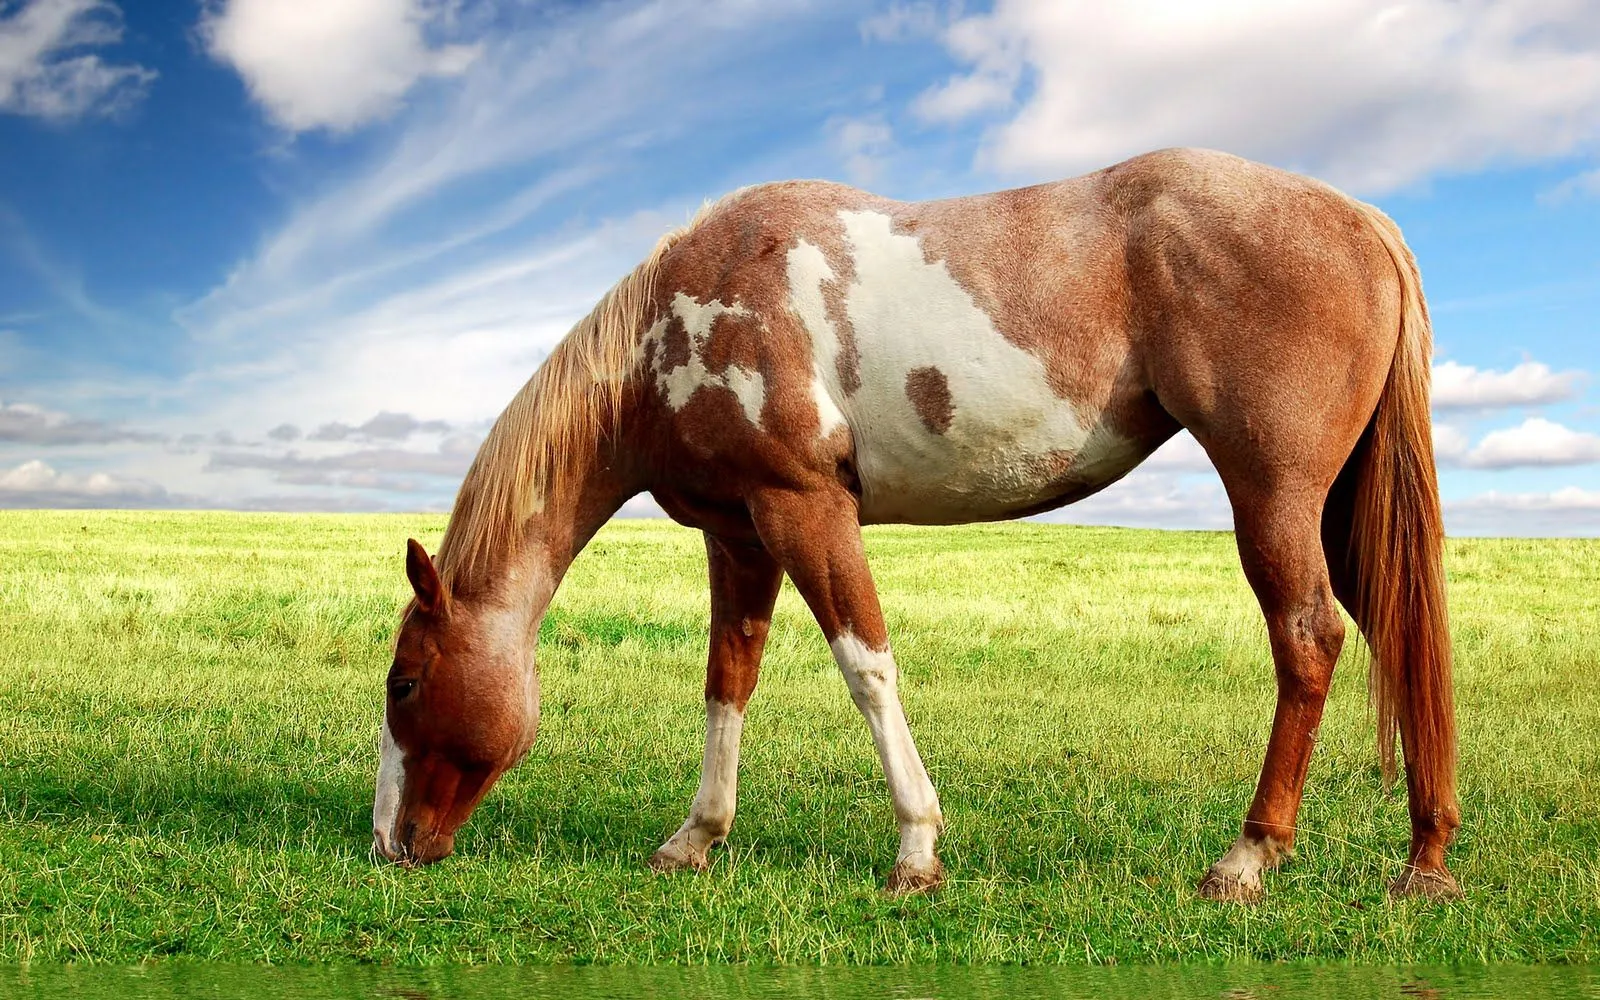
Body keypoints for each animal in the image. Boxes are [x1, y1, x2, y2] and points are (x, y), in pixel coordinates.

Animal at [371, 146, 1465, 896]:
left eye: (406, 681)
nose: (387, 844)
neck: (674, 327)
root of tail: (1361, 219)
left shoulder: (805, 509)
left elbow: (866, 667)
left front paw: (916, 846)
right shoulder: (738, 533)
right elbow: (728, 682)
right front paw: (696, 838)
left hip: (1274, 495)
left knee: (1309, 640)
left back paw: (1247, 856)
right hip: (1340, 511)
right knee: (1400, 638)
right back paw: (1424, 858)